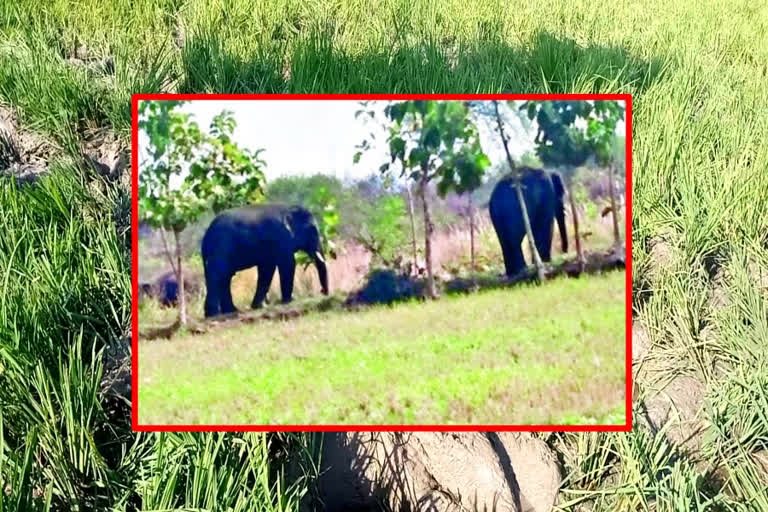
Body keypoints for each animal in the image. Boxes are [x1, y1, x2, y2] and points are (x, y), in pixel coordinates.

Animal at [200, 203, 328, 316]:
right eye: (312, 230)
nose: (322, 292)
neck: (289, 208)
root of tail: (206, 236)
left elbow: (267, 269)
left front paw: (258, 306)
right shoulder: (281, 237)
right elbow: (287, 264)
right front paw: (289, 300)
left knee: (224, 277)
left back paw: (230, 311)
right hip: (220, 248)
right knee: (217, 275)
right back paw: (214, 314)